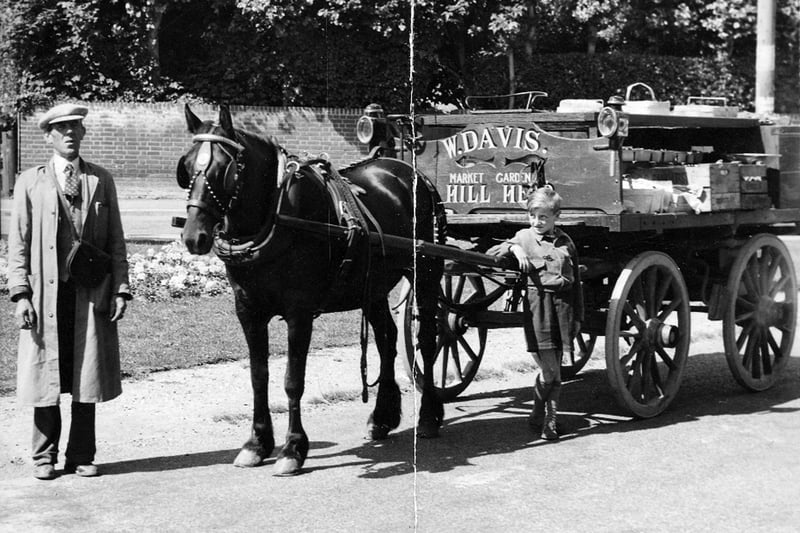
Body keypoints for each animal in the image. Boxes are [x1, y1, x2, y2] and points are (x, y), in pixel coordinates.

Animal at [176, 104, 446, 474]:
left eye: (224, 168)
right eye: (187, 166)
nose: (194, 236)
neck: (276, 217)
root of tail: (409, 172)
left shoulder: (299, 312)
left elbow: (293, 380)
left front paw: (293, 448)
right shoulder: (248, 311)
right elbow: (258, 376)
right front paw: (257, 443)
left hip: (427, 274)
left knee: (428, 340)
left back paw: (430, 414)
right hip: (372, 284)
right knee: (386, 340)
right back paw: (382, 416)